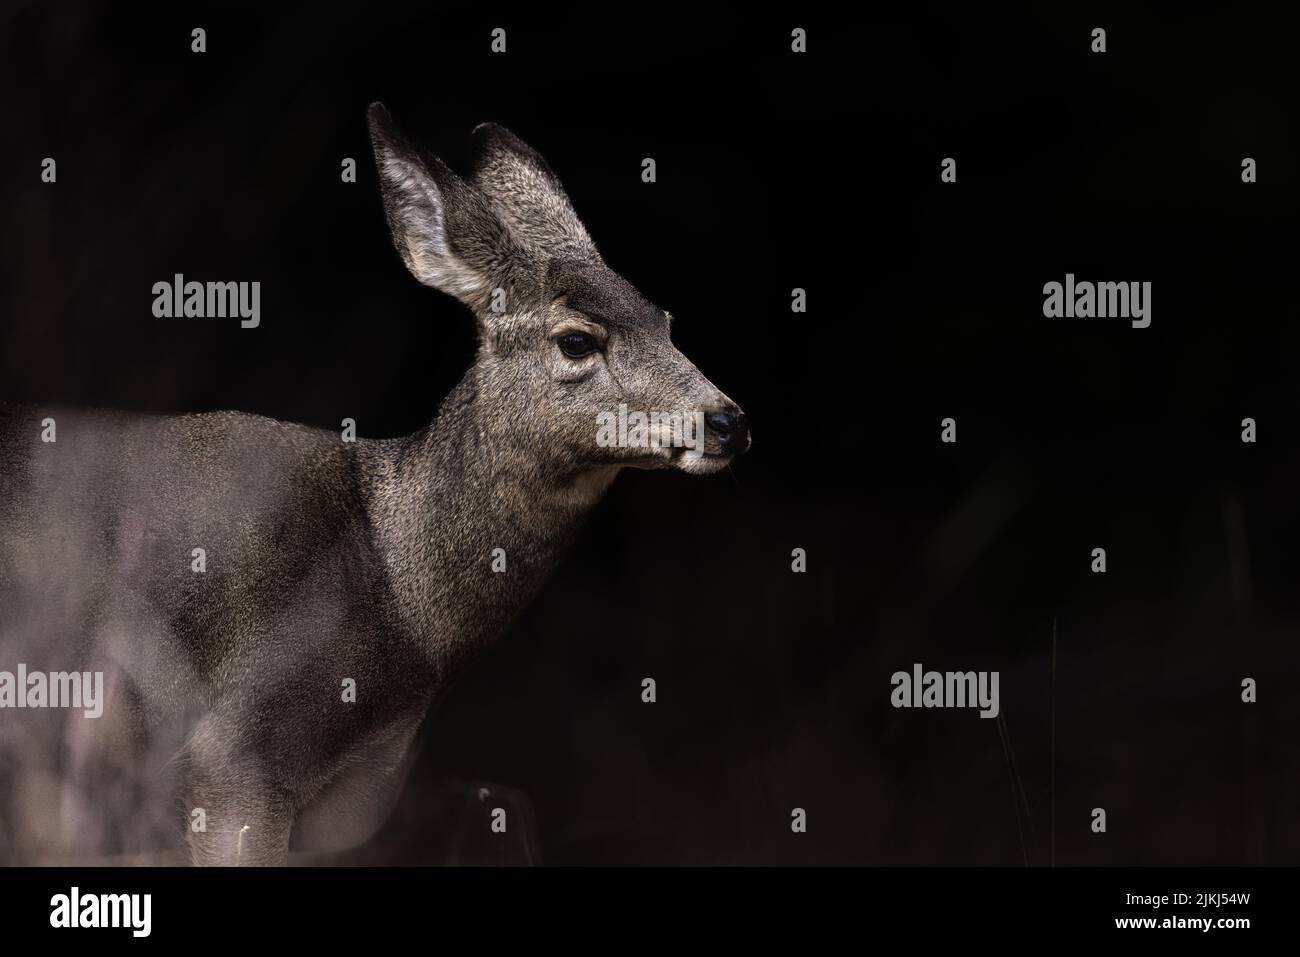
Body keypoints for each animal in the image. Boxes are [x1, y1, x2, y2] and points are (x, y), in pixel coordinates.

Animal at [0, 104, 754, 868]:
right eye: (576, 339)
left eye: (666, 320)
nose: (727, 421)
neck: (400, 591)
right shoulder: (237, 754)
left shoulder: (357, 796)